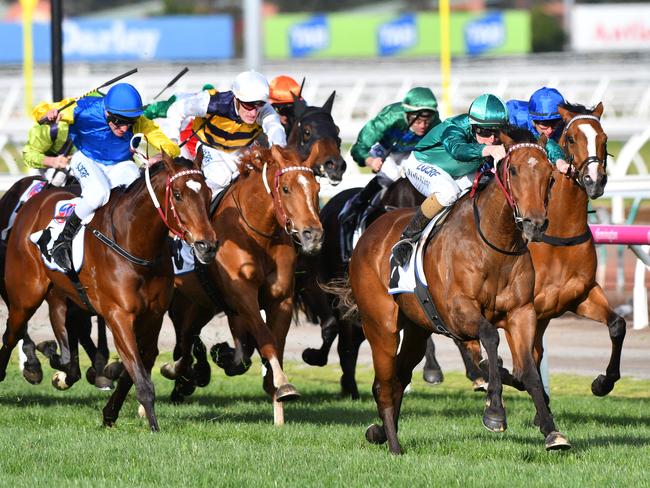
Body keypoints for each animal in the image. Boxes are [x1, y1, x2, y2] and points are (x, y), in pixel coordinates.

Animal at [0, 154, 218, 428]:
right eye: (177, 195)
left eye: (208, 193)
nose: (207, 245)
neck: (135, 245)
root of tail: (35, 200)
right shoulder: (118, 315)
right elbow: (140, 375)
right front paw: (154, 426)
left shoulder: (153, 317)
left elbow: (136, 368)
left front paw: (110, 413)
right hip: (26, 295)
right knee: (11, 333)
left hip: (61, 293)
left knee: (62, 333)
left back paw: (58, 360)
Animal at [159, 144, 322, 424]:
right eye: (286, 188)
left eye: (317, 187)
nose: (313, 235)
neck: (256, 234)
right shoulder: (242, 296)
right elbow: (265, 336)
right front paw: (282, 383)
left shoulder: (280, 299)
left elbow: (265, 346)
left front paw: (271, 385)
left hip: (199, 302)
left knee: (186, 337)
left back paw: (182, 372)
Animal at [344, 130, 568, 454]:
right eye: (513, 170)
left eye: (550, 176)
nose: (534, 223)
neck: (494, 245)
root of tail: (369, 233)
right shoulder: (457, 311)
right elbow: (489, 336)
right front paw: (494, 412)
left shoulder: (521, 312)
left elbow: (528, 372)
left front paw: (552, 431)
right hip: (381, 325)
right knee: (383, 384)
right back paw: (394, 446)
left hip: (416, 329)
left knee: (399, 377)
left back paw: (381, 432)